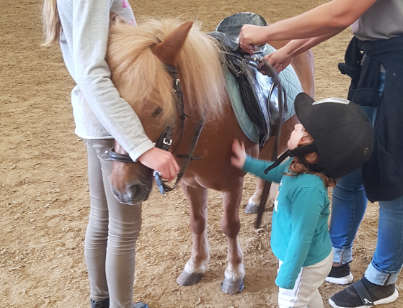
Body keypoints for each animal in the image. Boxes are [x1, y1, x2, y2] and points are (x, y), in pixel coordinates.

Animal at [105, 16, 314, 294]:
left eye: (158, 110)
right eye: (111, 111)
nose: (124, 190)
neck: (206, 125)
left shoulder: (233, 183)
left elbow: (230, 226)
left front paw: (234, 273)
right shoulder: (191, 184)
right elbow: (197, 223)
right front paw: (196, 265)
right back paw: (258, 200)